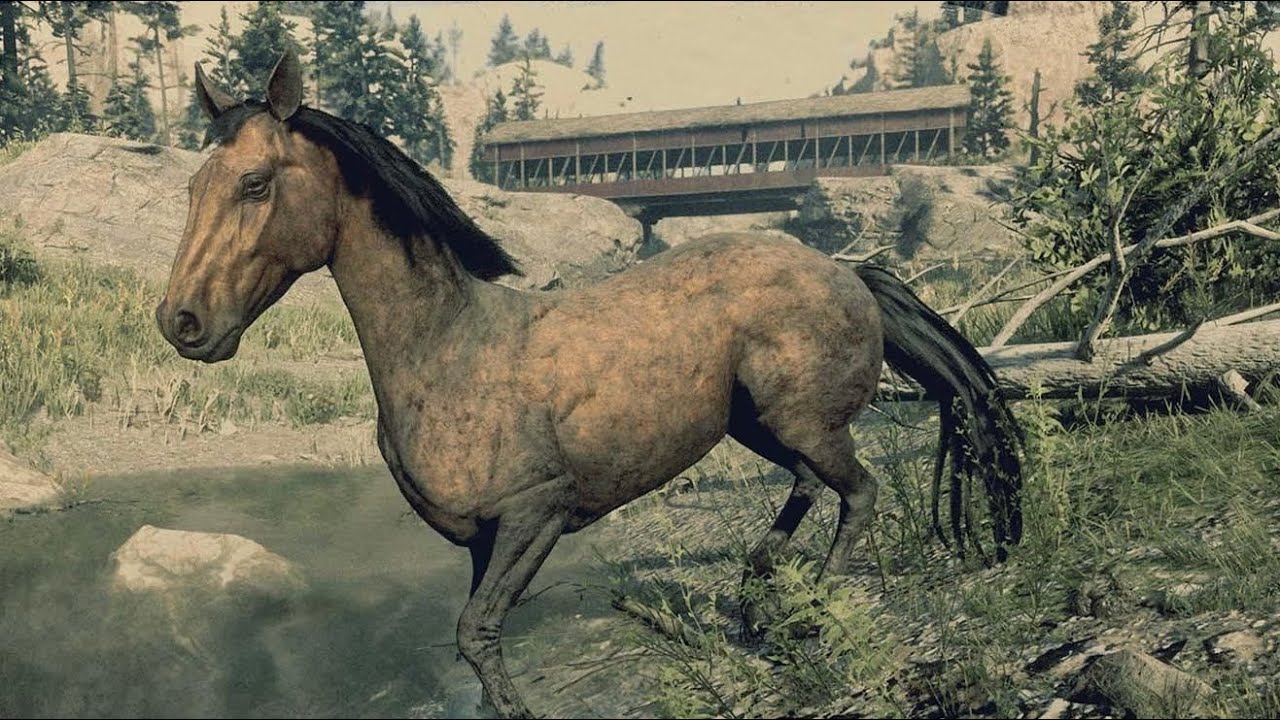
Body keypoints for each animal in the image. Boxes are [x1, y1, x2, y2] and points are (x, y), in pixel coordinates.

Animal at [156, 51, 1024, 719]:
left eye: (256, 183)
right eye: (194, 187)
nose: (181, 322)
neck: (447, 349)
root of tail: (848, 270)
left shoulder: (536, 513)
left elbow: (477, 633)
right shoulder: (484, 540)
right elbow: (477, 638)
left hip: (802, 421)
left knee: (859, 492)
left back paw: (807, 615)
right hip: (757, 423)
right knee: (811, 487)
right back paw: (758, 591)